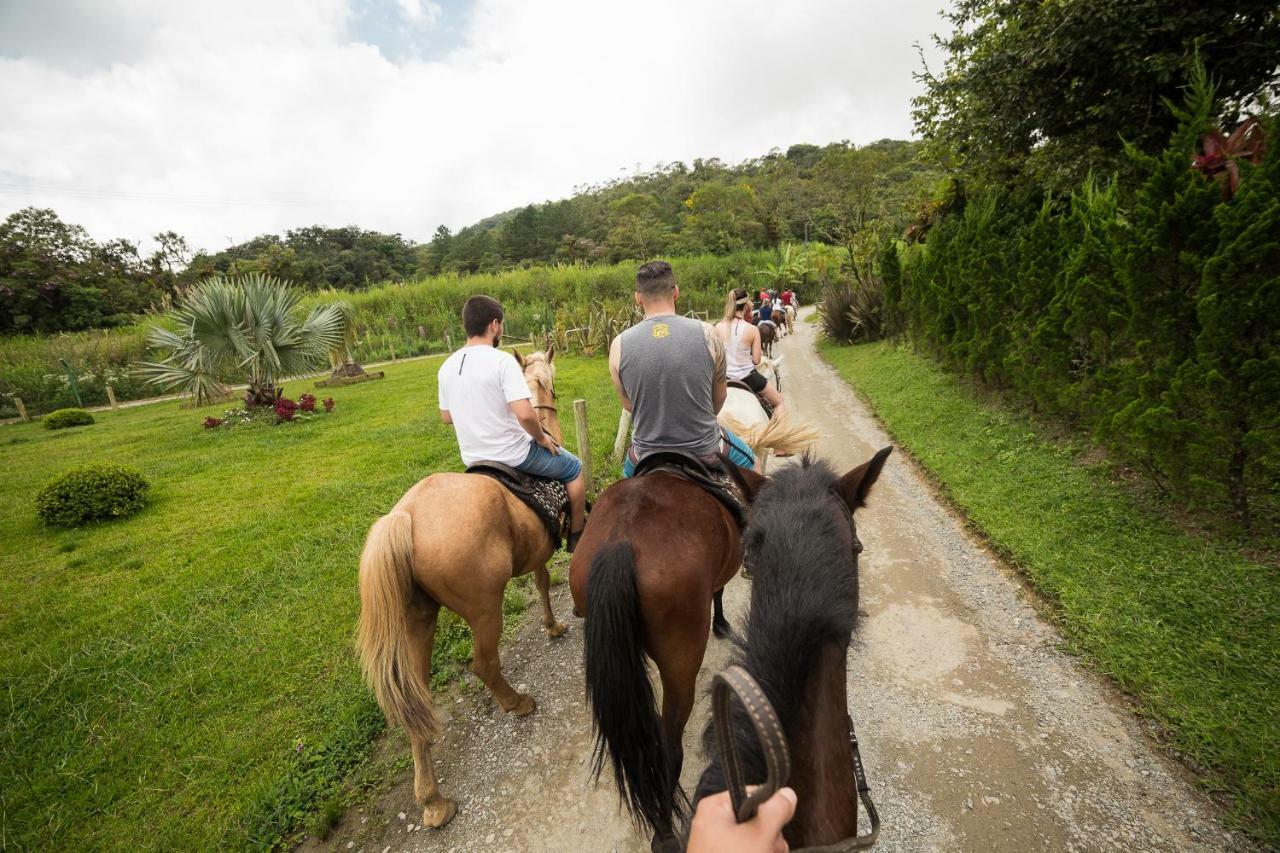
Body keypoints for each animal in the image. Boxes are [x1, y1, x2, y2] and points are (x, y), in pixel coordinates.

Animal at [355, 343, 565, 824]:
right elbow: (547, 580)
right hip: (485, 609)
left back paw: (433, 801)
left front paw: (551, 625)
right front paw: (558, 624)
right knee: (484, 664)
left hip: (417, 622)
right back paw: (516, 703)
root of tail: (406, 518)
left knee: (415, 698)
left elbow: (542, 581)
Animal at [570, 420, 808, 850]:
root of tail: (621, 541)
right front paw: (721, 623)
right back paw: (665, 833)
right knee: (668, 748)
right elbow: (719, 591)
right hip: (681, 661)